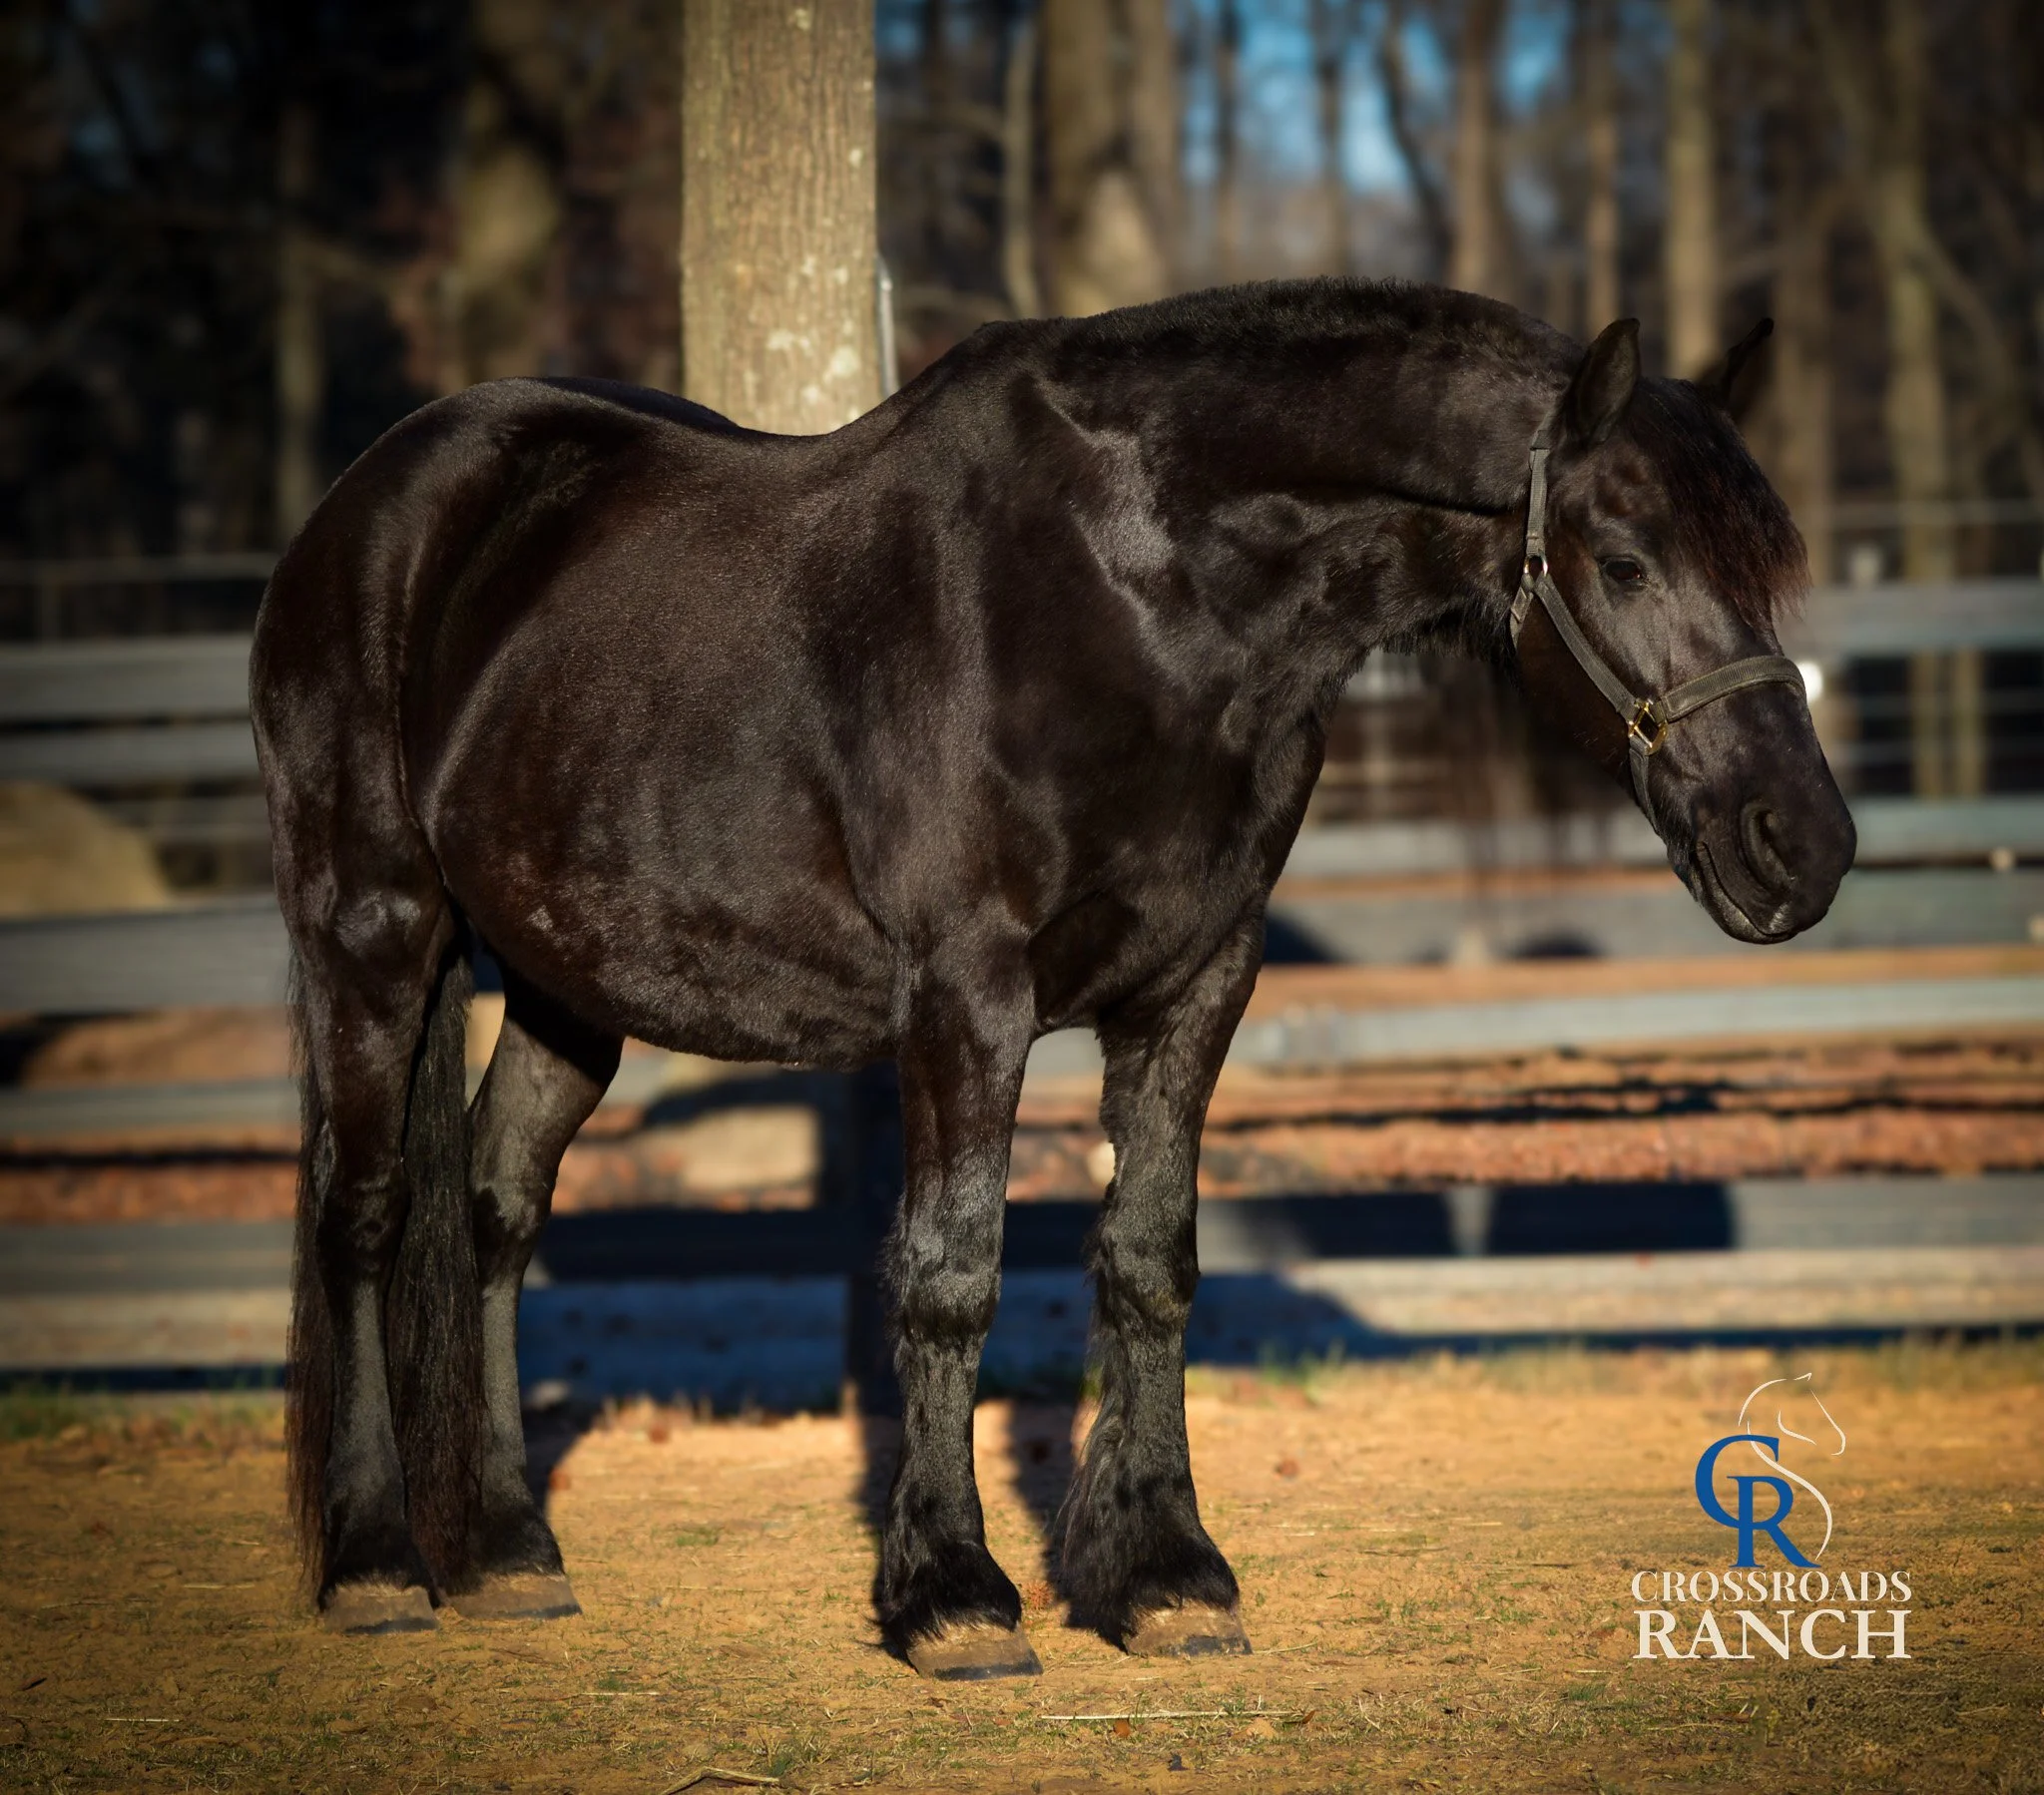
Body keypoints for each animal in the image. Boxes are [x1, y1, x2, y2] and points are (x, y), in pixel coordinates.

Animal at [250, 277, 1855, 1676]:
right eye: (1624, 558)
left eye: (1761, 570)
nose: (1803, 845)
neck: (1141, 590)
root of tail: (369, 502)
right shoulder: (969, 996)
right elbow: (951, 1274)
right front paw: (953, 1595)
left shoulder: (1199, 984)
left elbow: (1149, 1258)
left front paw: (1167, 1576)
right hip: (373, 924)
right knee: (366, 1216)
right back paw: (379, 1561)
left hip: (566, 980)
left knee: (495, 1210)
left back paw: (510, 1551)